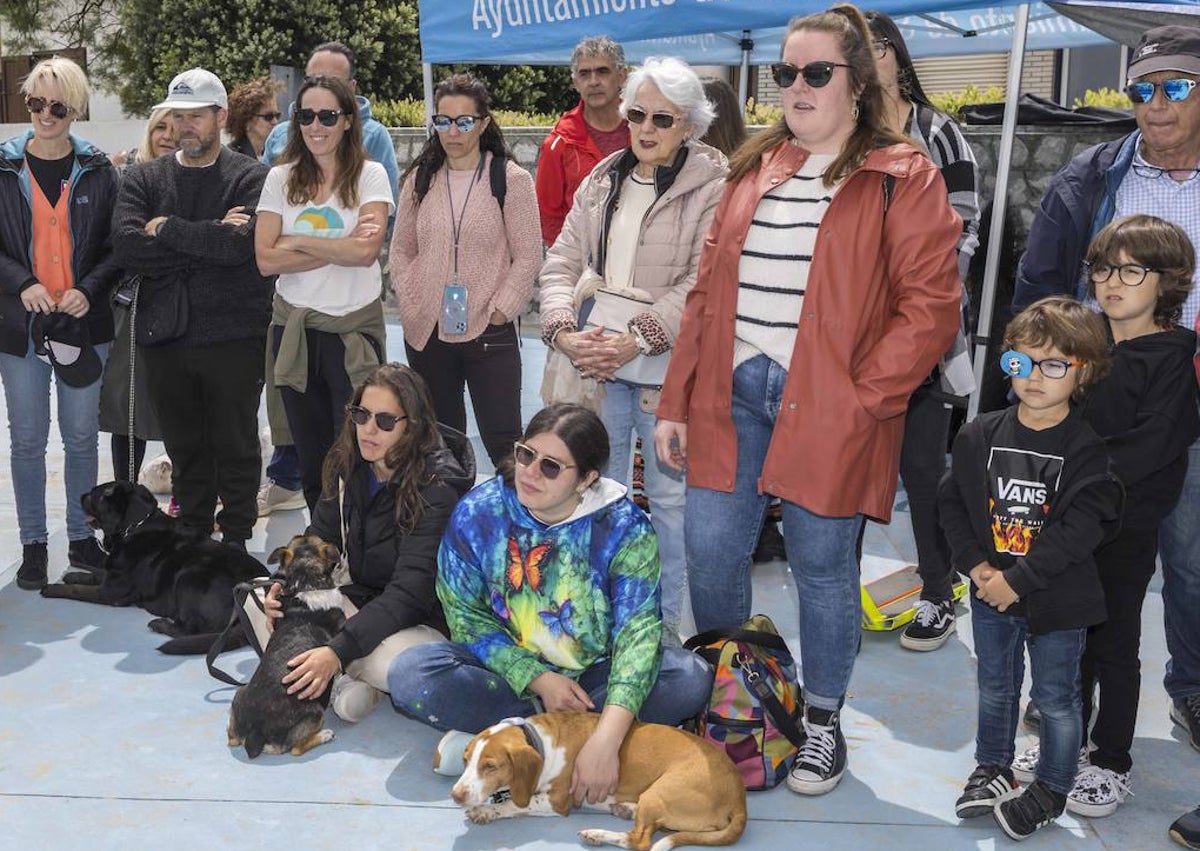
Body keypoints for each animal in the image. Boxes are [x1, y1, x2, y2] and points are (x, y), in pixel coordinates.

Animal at [40, 482, 262, 652]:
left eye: (97, 495)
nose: (81, 495)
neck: (135, 526)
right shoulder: (113, 574)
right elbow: (96, 573)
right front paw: (73, 575)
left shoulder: (112, 592)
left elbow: (77, 590)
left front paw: (52, 588)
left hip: (190, 574)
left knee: (187, 629)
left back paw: (159, 624)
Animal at [228, 535, 348, 758]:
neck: (307, 583)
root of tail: (256, 731)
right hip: (314, 712)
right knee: (296, 749)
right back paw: (324, 735)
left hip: (238, 695)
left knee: (232, 739)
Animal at [448, 715, 739, 844]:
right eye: (465, 760)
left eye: (490, 766)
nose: (455, 795)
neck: (541, 741)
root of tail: (738, 797)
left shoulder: (555, 802)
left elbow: (514, 804)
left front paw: (485, 811)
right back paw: (626, 808)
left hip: (660, 791)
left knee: (639, 841)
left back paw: (598, 833)